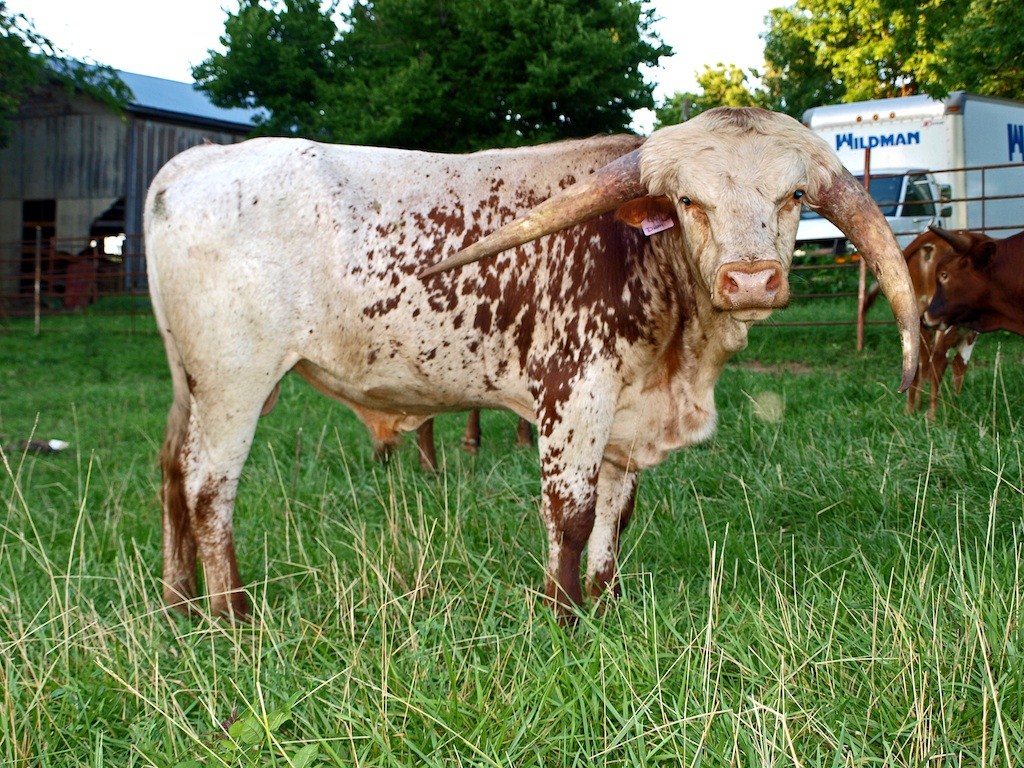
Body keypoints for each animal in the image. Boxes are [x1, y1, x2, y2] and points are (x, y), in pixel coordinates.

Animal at [146, 106, 918, 622]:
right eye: (688, 201)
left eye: (794, 197)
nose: (751, 279)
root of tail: (192, 164)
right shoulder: (574, 396)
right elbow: (571, 513)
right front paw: (563, 614)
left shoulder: (625, 413)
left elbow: (616, 512)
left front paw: (607, 601)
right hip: (234, 382)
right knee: (209, 488)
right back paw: (233, 616)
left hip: (189, 382)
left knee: (171, 472)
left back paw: (179, 604)